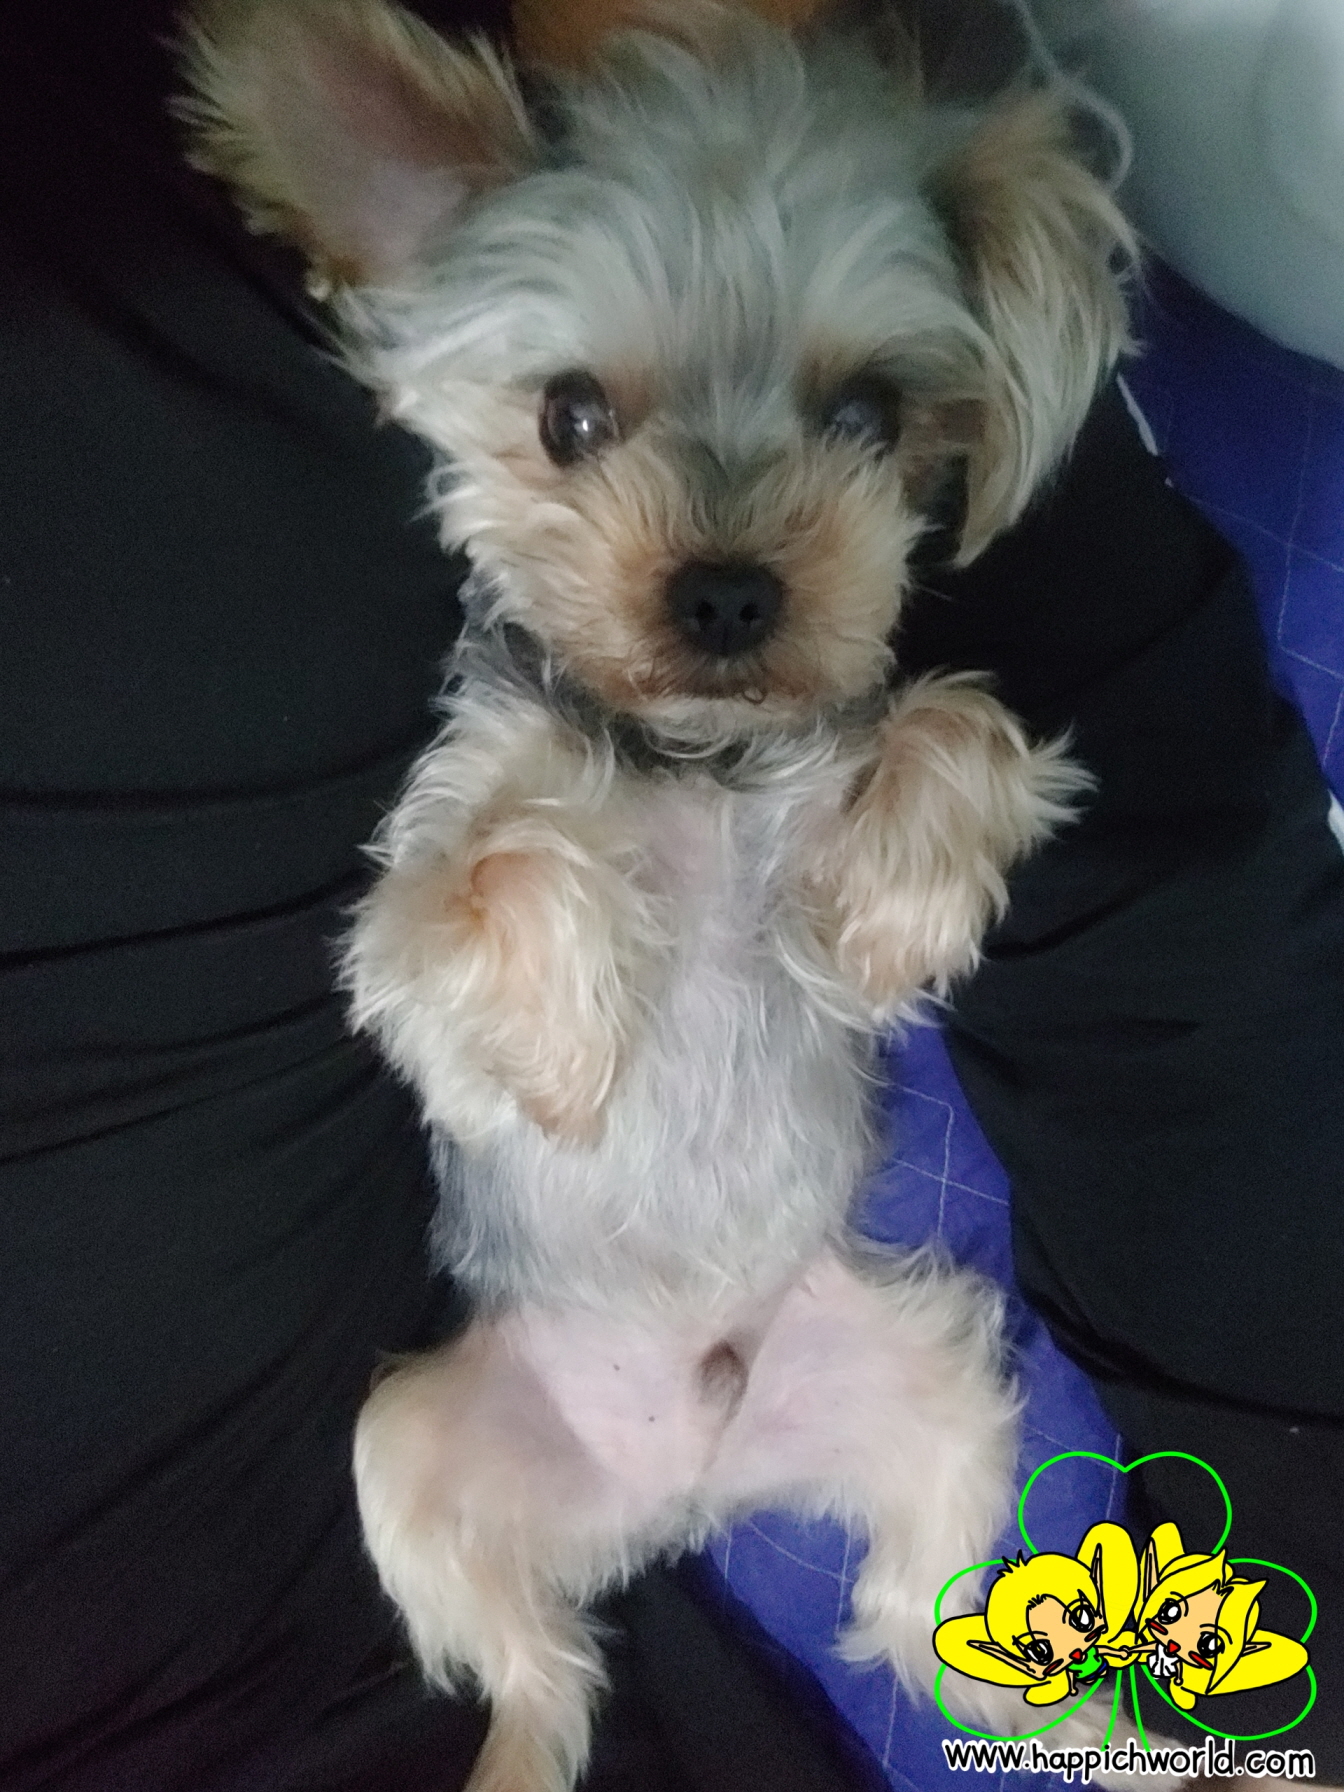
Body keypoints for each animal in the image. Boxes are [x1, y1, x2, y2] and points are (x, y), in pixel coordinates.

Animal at [179, 4, 1173, 1786]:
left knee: (922, 1625)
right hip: (407, 1443)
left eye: (869, 414)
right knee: (539, 1677)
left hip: (928, 1387)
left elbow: (955, 724)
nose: (725, 594)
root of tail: (692, 1492)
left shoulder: (909, 743)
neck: (693, 766)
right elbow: (510, 867)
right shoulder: (407, 925)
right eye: (568, 416)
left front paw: (879, 914)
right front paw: (577, 1050)